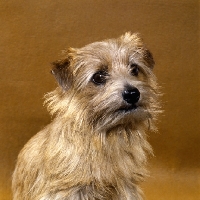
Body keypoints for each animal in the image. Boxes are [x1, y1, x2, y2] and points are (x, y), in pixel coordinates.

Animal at [12, 33, 159, 200]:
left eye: (134, 69)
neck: (105, 138)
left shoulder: (126, 186)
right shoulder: (70, 190)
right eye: (99, 76)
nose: (132, 93)